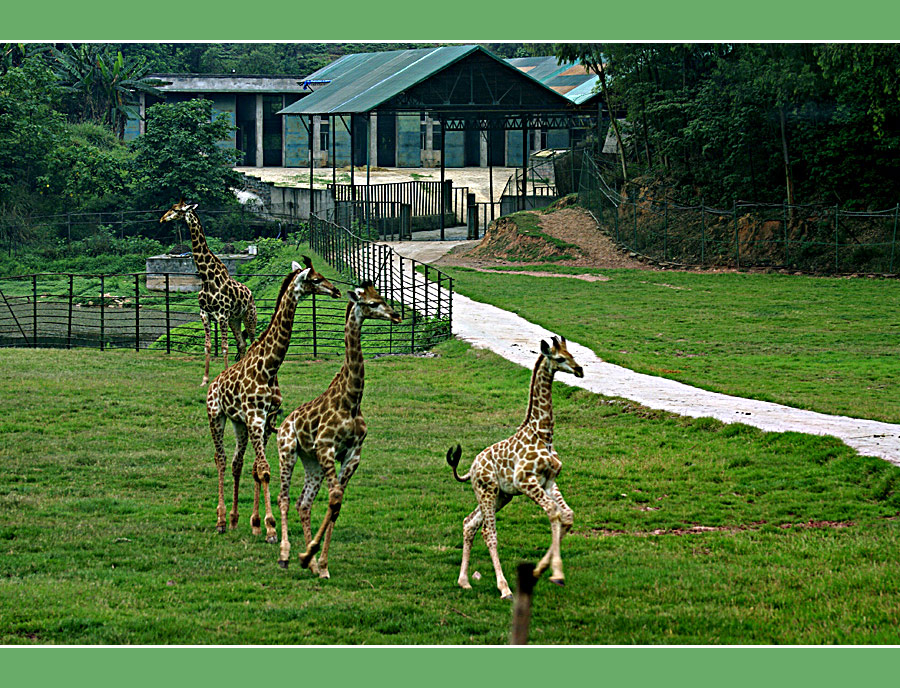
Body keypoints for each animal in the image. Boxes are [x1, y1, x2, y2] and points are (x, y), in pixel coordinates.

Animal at [160, 199, 258, 388]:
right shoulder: (204, 314)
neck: (207, 278)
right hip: (235, 319)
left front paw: (223, 378)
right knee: (242, 344)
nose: (162, 218)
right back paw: (240, 375)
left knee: (252, 343)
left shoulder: (222, 315)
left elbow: (224, 347)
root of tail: (250, 294)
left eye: (176, 210)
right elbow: (208, 346)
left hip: (249, 316)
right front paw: (204, 380)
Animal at [207, 256, 342, 536]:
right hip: (216, 416)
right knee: (221, 459)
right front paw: (269, 528)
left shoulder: (266, 419)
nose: (335, 290)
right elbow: (264, 469)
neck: (269, 366)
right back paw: (221, 520)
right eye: (315, 279)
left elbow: (257, 469)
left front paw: (257, 523)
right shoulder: (255, 417)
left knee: (236, 462)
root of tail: (213, 385)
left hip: (239, 424)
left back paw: (234, 519)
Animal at [274, 282, 400, 576]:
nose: (396, 315)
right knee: (284, 498)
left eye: (382, 297)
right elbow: (333, 500)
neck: (351, 401)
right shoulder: (326, 447)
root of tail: (281, 425)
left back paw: (310, 565)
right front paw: (309, 556)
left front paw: (321, 564)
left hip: (312, 463)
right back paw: (285, 555)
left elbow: (337, 504)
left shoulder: (353, 454)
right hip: (288, 452)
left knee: (304, 503)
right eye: (372, 303)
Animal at [448, 336, 584, 600]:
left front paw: (541, 570)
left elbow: (566, 515)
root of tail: (471, 468)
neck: (544, 434)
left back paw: (464, 581)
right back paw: (504, 588)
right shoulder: (526, 481)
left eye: (572, 353)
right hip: (487, 490)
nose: (580, 370)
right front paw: (555, 573)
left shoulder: (549, 482)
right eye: (560, 358)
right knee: (488, 532)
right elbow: (553, 512)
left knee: (469, 524)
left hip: (502, 496)